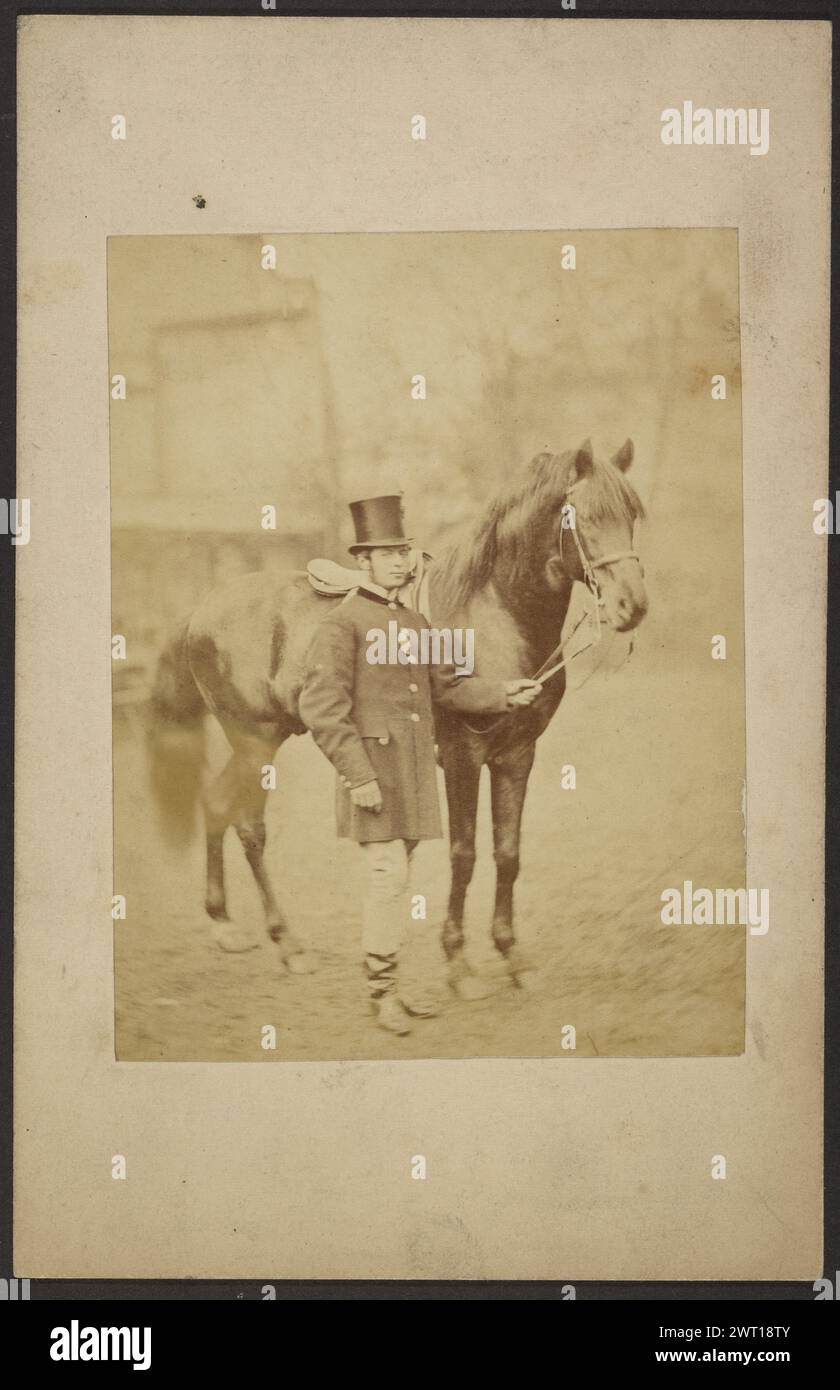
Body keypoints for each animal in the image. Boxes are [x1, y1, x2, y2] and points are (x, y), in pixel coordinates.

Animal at [145, 438, 648, 996]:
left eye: (631, 514)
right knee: (250, 826)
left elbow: (508, 854)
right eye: (583, 517)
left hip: (259, 741)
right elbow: (464, 854)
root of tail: (202, 609)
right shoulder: (464, 757)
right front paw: (459, 964)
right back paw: (287, 944)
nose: (632, 604)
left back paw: (226, 924)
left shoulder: (517, 755)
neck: (491, 616)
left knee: (215, 803)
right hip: (256, 741)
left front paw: (512, 955)